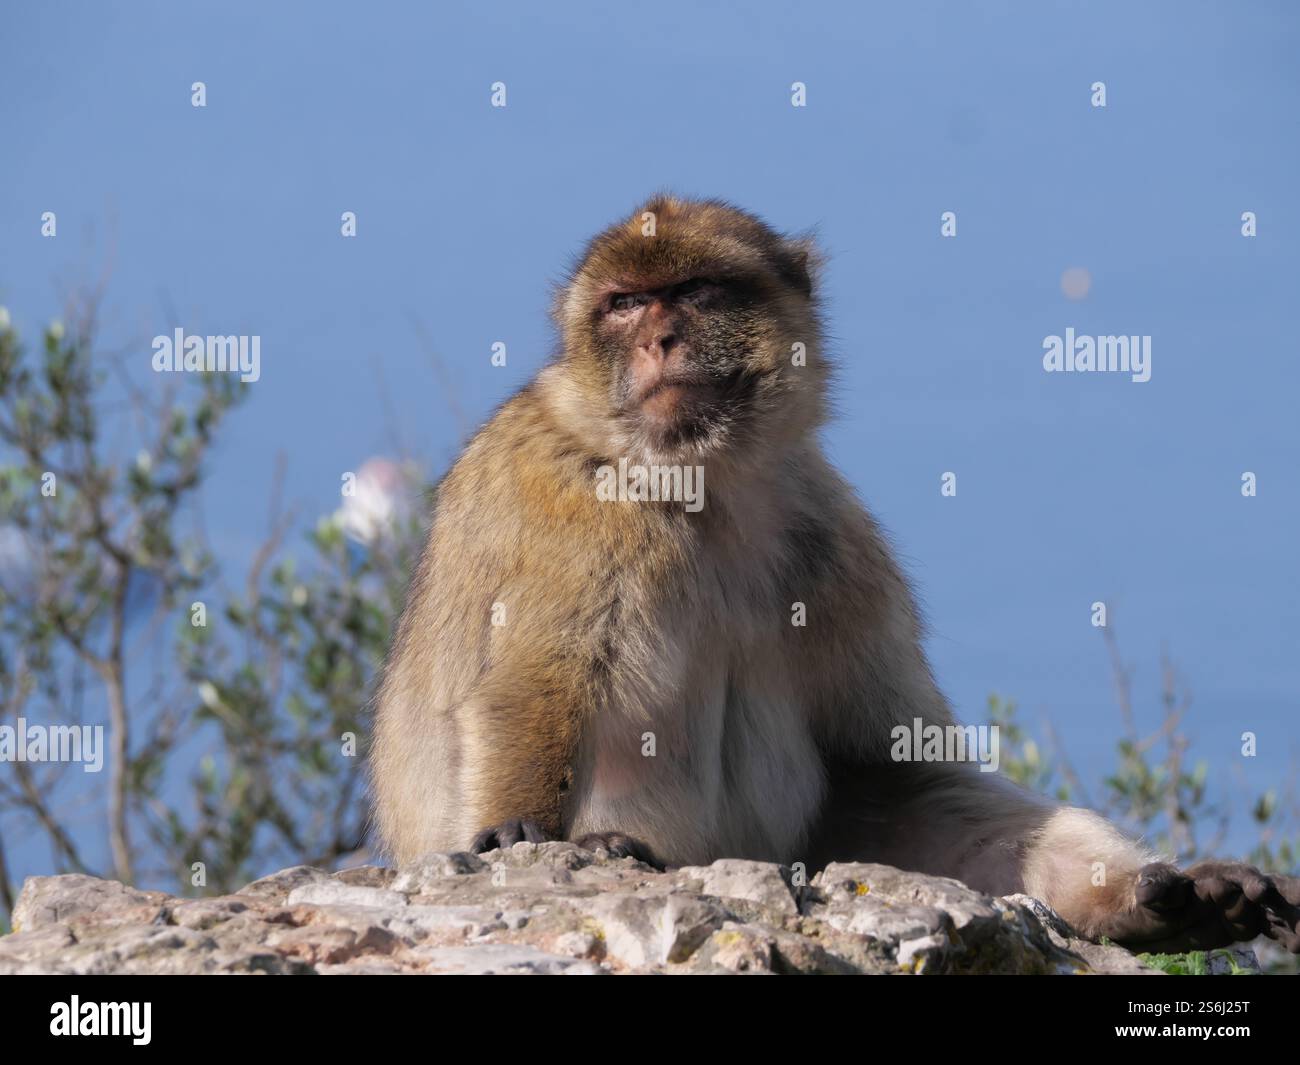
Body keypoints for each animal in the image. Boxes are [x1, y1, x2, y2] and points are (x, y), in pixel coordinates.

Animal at [370, 195, 1300, 955]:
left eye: (696, 292)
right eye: (624, 304)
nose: (658, 338)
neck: (702, 484)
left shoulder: (837, 540)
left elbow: (886, 772)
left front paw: (1145, 894)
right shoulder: (577, 517)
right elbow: (531, 688)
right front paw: (519, 833)